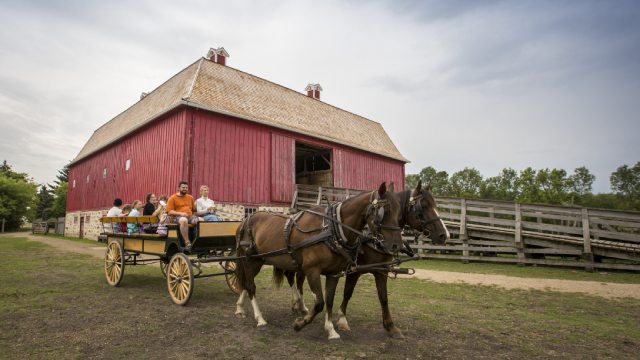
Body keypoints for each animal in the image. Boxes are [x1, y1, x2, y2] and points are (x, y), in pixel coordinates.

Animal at [232, 183, 402, 344]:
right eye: (385, 212)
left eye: (398, 212)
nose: (396, 246)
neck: (330, 229)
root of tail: (244, 222)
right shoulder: (312, 271)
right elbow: (319, 302)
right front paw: (300, 323)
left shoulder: (334, 273)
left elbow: (329, 300)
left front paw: (331, 331)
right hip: (250, 261)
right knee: (251, 287)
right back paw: (260, 319)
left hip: (260, 261)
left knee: (245, 283)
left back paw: (240, 307)